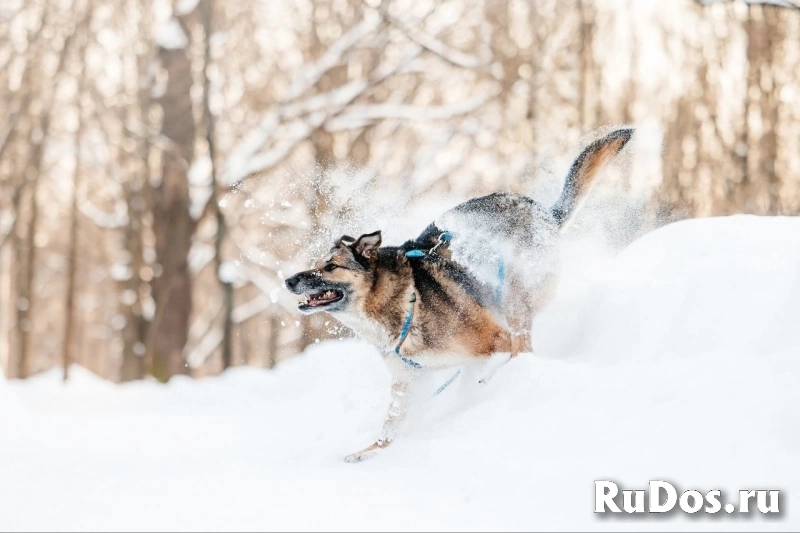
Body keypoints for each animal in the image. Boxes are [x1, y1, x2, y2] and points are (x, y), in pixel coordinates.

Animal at [284, 128, 636, 462]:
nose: (288, 280)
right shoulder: (407, 382)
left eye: (330, 267)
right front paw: (372, 451)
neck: (406, 302)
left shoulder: (495, 339)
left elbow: (501, 359)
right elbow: (391, 425)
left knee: (523, 344)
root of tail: (542, 211)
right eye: (315, 264)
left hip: (515, 298)